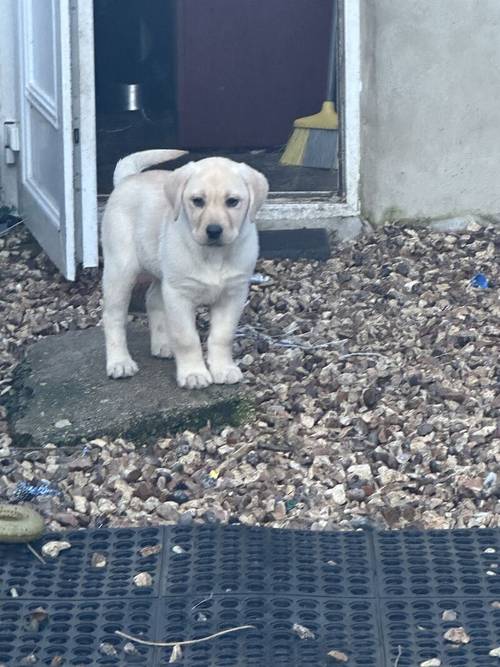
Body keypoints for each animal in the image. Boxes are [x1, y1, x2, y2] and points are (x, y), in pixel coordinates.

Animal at [101, 149, 270, 388]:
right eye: (197, 201)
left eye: (232, 201)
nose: (214, 230)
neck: (213, 256)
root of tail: (127, 179)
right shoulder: (179, 294)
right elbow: (186, 337)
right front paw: (194, 373)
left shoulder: (233, 294)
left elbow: (223, 335)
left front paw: (223, 369)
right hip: (120, 269)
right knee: (113, 317)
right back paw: (120, 362)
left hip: (161, 271)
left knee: (153, 299)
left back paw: (163, 345)